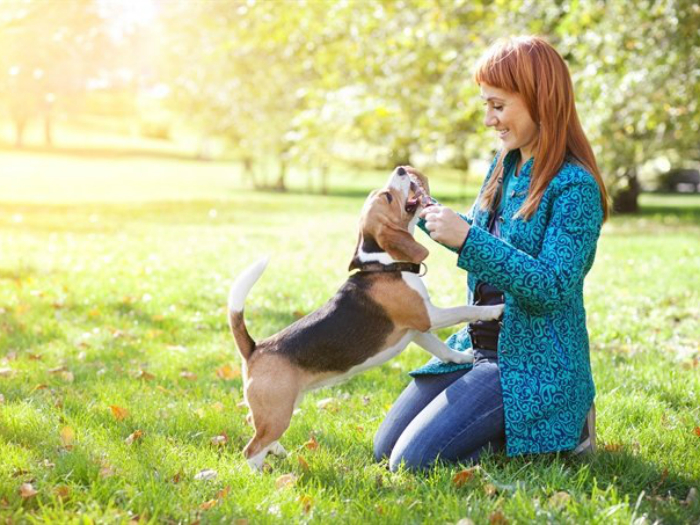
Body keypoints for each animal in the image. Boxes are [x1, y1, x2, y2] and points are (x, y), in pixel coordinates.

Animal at [230, 166, 504, 468]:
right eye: (387, 197)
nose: (401, 169)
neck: (385, 264)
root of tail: (254, 348)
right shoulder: (428, 316)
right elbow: (463, 310)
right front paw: (494, 310)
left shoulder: (417, 330)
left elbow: (442, 349)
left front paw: (463, 357)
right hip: (277, 411)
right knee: (252, 449)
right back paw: (260, 470)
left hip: (282, 406)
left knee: (252, 423)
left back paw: (278, 451)